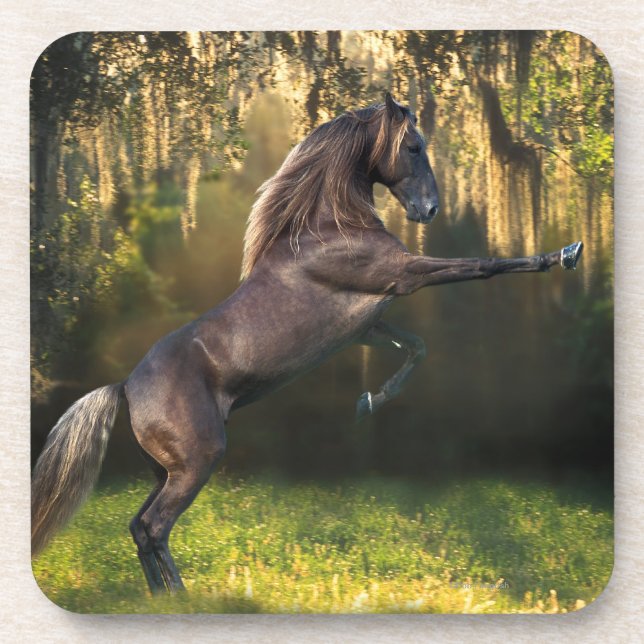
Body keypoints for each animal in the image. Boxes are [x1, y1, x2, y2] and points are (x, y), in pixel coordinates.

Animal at [31, 93, 583, 594]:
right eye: (413, 147)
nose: (429, 210)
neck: (329, 228)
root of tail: (124, 386)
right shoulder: (405, 275)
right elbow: (484, 265)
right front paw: (565, 254)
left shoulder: (368, 325)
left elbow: (416, 347)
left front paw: (367, 403)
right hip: (195, 463)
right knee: (153, 528)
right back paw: (179, 599)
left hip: (164, 472)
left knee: (139, 528)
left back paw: (165, 599)